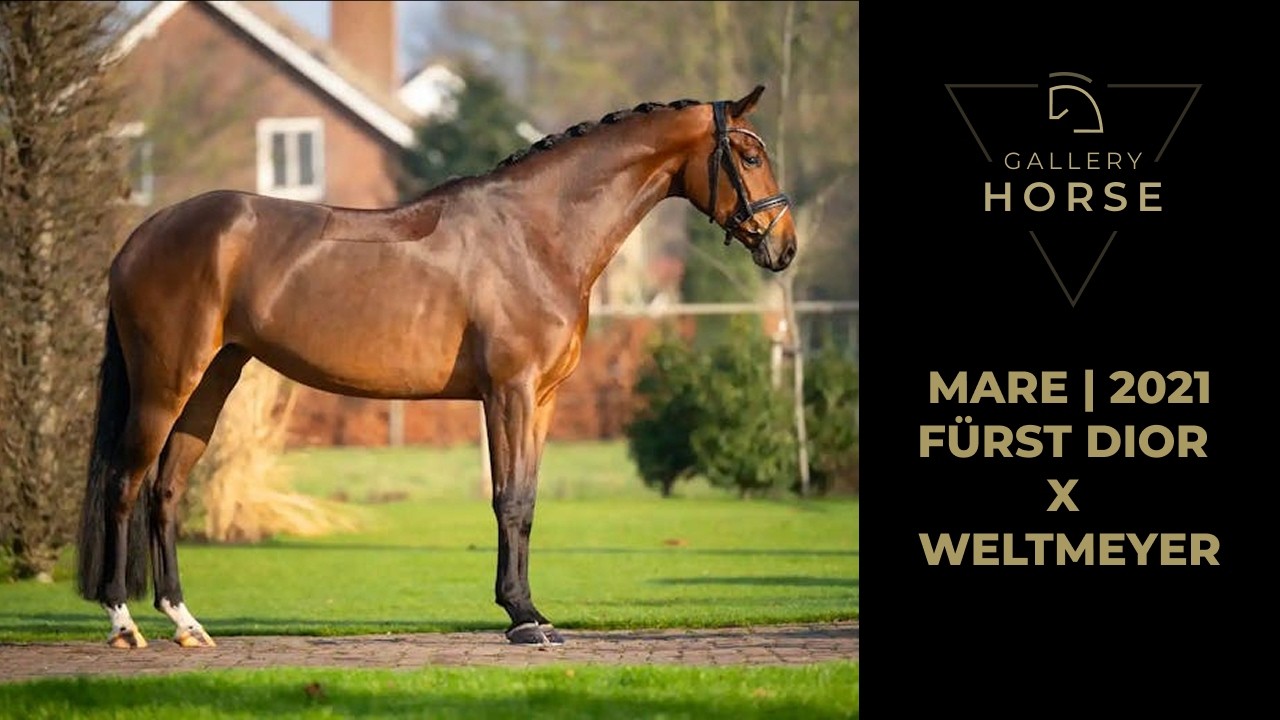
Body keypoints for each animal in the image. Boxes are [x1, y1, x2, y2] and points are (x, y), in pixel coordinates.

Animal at [76, 84, 797, 649]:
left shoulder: (543, 399)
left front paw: (531, 611)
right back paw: (123, 622)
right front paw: (522, 617)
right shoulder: (509, 393)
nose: (785, 247)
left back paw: (186, 623)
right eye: (751, 155)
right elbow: (509, 500)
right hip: (165, 384)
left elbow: (527, 499)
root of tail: (140, 238)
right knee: (123, 483)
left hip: (212, 379)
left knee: (167, 490)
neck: (534, 233)